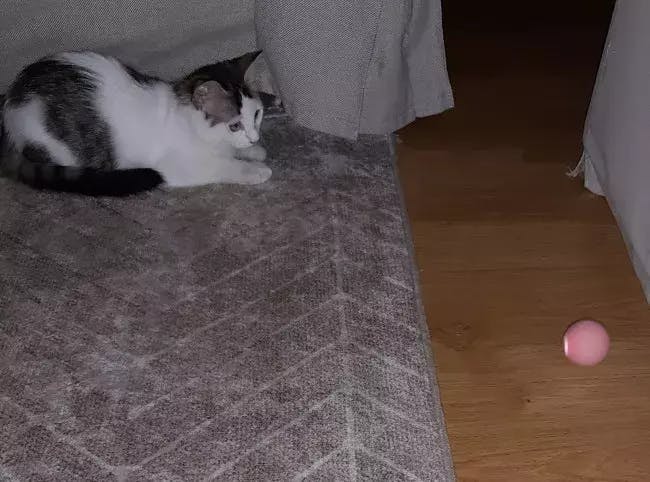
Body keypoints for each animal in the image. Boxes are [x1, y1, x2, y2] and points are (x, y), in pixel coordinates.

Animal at [0, 50, 272, 196]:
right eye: (234, 125)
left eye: (256, 115)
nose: (254, 137)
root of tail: (12, 97)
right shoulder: (179, 166)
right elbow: (223, 165)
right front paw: (255, 170)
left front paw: (254, 151)